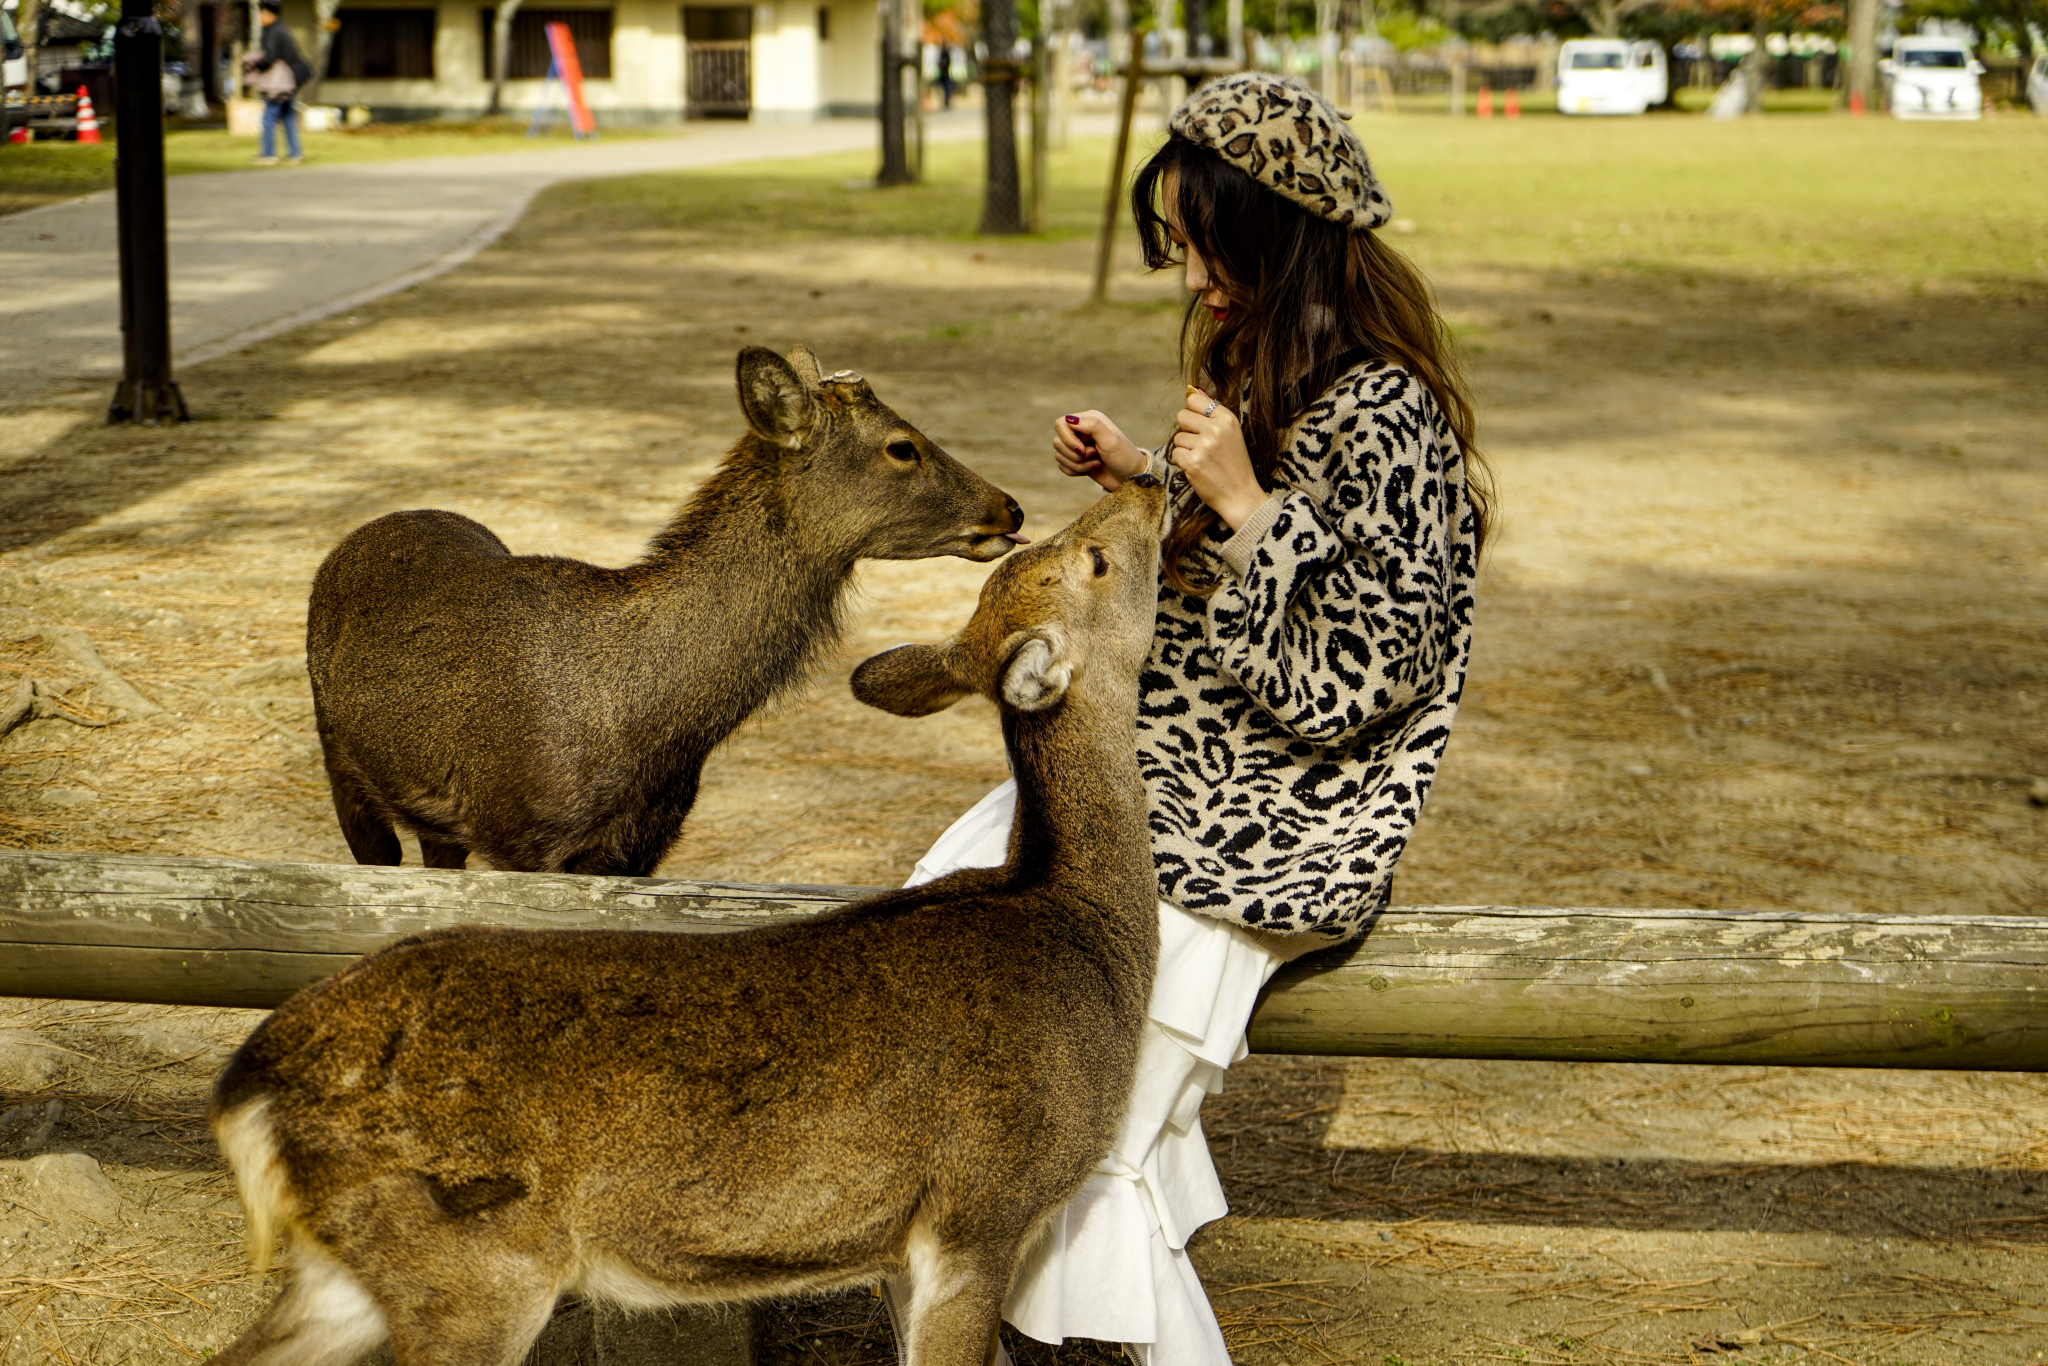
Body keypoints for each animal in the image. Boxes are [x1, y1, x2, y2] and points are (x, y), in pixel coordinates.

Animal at [211, 479, 1171, 1366]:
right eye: (1095, 561)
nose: (1148, 483)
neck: (1075, 924)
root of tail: (248, 1083)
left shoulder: (900, 1243)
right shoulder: (981, 1209)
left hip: (355, 1266)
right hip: (474, 1265)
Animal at [303, 342, 1024, 876]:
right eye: (903, 445)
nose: (1010, 508)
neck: (659, 732)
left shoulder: (639, 849)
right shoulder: (520, 837)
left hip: (434, 817)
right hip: (344, 770)